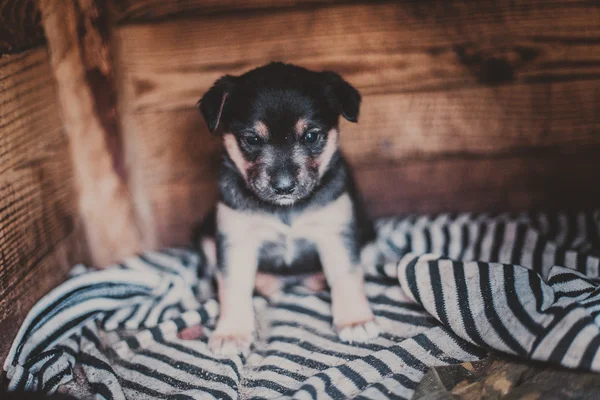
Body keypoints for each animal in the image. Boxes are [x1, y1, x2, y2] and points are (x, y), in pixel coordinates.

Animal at [197, 62, 378, 356]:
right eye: (251, 139)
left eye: (311, 136)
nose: (284, 187)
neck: (285, 211)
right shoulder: (235, 240)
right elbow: (233, 287)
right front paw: (232, 333)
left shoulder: (337, 233)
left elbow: (347, 275)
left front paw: (355, 321)